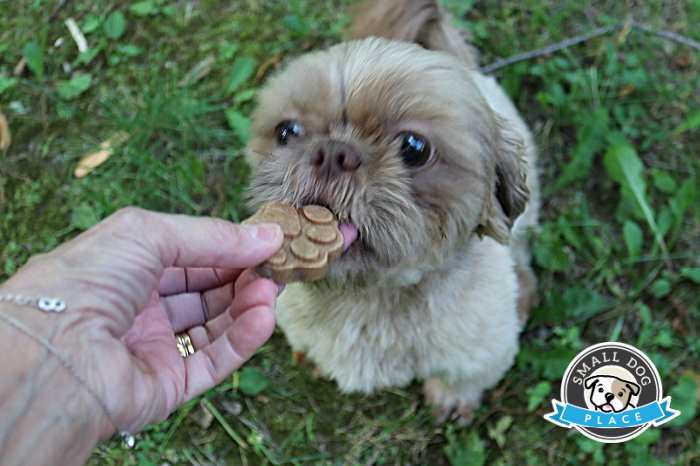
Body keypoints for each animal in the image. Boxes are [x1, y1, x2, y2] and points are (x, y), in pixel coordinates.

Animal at [246, 0, 540, 422]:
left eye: (414, 148)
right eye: (287, 132)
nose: (332, 152)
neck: (368, 298)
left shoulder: (482, 353)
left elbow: (462, 379)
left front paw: (452, 400)